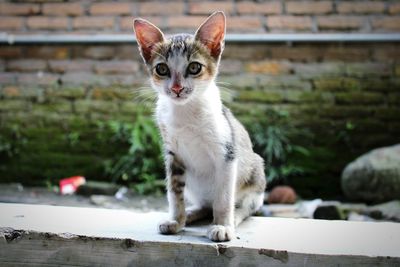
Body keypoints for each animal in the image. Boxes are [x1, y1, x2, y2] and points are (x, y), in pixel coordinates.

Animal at [133, 11, 268, 243]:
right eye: (162, 69)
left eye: (194, 67)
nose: (177, 88)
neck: (185, 112)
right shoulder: (173, 156)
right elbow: (174, 193)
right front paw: (176, 220)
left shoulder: (227, 153)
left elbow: (223, 197)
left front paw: (223, 225)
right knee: (206, 205)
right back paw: (191, 213)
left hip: (256, 174)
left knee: (247, 206)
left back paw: (233, 218)